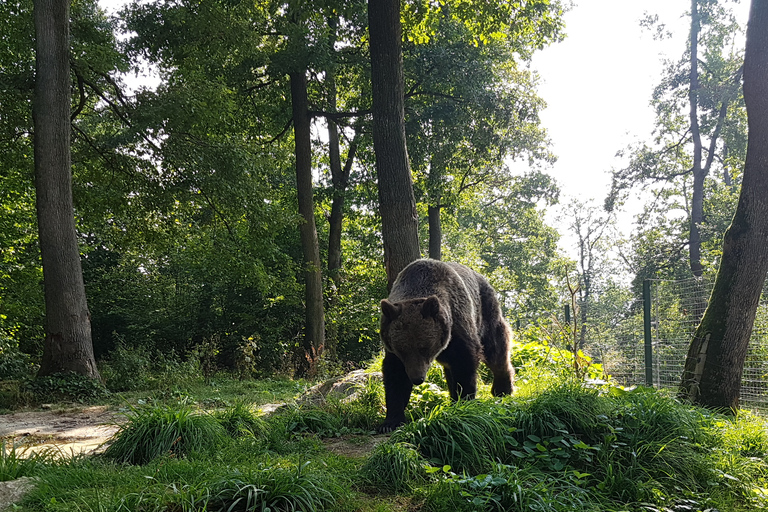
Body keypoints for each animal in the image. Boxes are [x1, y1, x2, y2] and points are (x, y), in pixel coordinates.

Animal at [378, 260, 516, 432]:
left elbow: (465, 364)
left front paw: (465, 403)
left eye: (424, 348)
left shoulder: (457, 326)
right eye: (402, 350)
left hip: (485, 311)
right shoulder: (393, 347)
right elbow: (395, 376)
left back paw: (502, 389)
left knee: (496, 349)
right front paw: (390, 422)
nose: (417, 378)